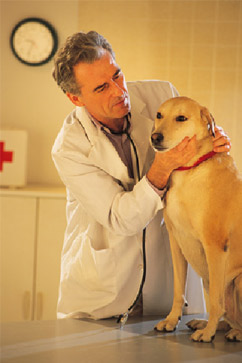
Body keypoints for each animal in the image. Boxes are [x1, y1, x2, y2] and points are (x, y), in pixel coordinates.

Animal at [151, 97, 242, 344]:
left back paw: (227, 331)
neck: (189, 170)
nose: (155, 137)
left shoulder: (214, 246)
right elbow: (177, 290)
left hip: (236, 279)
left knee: (227, 311)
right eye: (159, 115)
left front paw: (208, 333)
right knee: (229, 316)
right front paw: (172, 320)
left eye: (181, 118)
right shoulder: (175, 241)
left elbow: (216, 303)